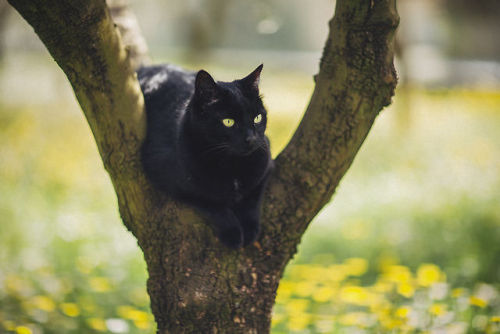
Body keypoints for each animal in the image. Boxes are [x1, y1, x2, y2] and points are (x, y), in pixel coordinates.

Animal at [138, 64, 274, 248]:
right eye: (228, 122)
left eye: (257, 118)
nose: (251, 138)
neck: (232, 164)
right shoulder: (162, 173)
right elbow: (212, 204)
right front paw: (233, 234)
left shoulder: (266, 164)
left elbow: (251, 201)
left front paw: (250, 230)